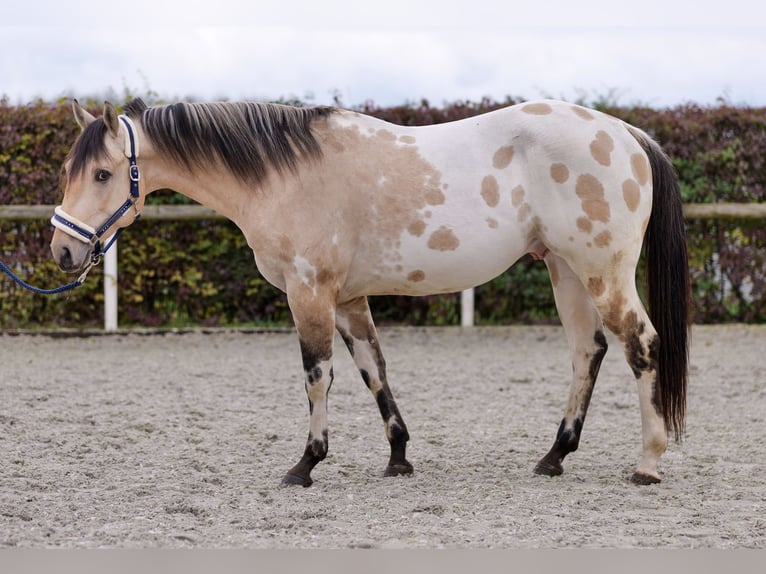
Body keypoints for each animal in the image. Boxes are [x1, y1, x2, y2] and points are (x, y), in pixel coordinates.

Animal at [51, 97, 692, 488]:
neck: (286, 174)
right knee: (589, 351)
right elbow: (372, 370)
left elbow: (318, 376)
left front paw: (305, 464)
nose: (63, 252)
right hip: (565, 271)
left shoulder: (309, 294)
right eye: (66, 172)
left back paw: (648, 462)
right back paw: (555, 455)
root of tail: (624, 132)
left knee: (641, 345)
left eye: (103, 174)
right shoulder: (348, 300)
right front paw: (399, 457)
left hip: (602, 272)